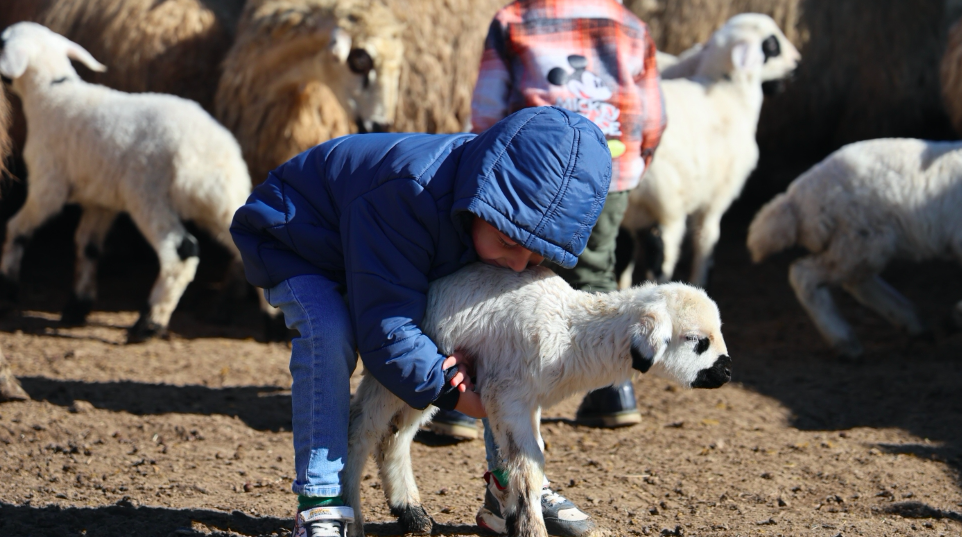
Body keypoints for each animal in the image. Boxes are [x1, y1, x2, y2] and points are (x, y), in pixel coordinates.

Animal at [0, 23, 255, 342]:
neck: (52, 92)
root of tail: (209, 153)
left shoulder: (48, 185)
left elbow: (18, 229)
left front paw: (8, 288)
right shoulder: (101, 201)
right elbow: (87, 246)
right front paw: (77, 307)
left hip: (147, 193)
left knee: (181, 254)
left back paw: (149, 324)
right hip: (223, 200)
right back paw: (274, 324)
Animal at [344, 262, 728, 536]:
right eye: (697, 341)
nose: (726, 372)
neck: (571, 335)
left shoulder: (530, 402)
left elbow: (528, 460)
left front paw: (514, 515)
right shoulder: (506, 396)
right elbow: (528, 466)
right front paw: (530, 527)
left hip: (428, 380)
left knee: (394, 437)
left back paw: (410, 512)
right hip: (392, 365)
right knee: (360, 429)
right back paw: (352, 515)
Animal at [620, 13, 800, 288]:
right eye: (771, 45)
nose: (797, 60)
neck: (729, 94)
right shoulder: (717, 196)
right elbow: (706, 239)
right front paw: (700, 280)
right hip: (665, 206)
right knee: (659, 259)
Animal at [748, 136, 962, 358]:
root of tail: (795, 198)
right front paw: (956, 316)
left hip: (859, 242)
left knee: (855, 281)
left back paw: (914, 322)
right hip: (859, 237)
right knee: (804, 274)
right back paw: (845, 342)